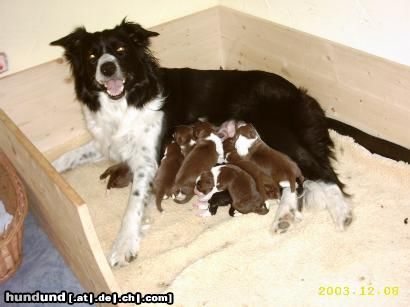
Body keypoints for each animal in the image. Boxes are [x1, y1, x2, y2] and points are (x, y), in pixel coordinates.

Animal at [50, 19, 352, 268]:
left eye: (121, 50)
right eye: (92, 56)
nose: (107, 67)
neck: (127, 100)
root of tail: (298, 92)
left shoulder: (149, 160)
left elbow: (133, 206)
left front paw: (123, 245)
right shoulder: (106, 141)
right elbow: (68, 156)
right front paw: (48, 173)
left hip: (273, 130)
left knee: (320, 171)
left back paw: (341, 213)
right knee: (293, 176)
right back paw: (285, 215)